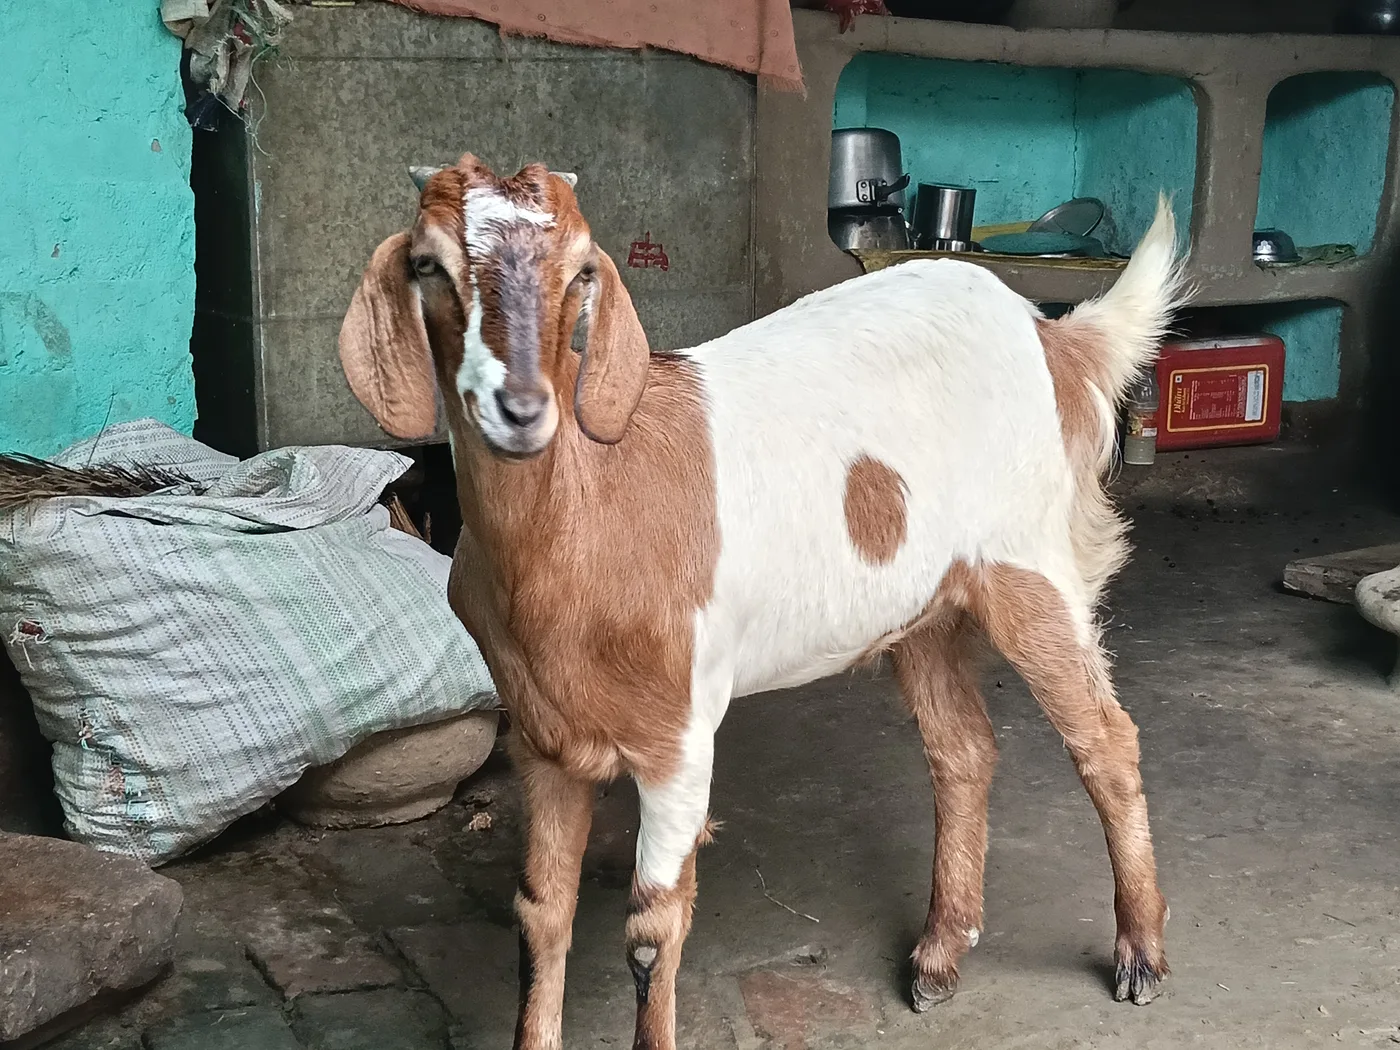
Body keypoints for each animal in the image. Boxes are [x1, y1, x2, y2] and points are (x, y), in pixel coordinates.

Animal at [339, 153, 1190, 1050]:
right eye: (428, 265)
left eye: (580, 273)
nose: (522, 407)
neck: (590, 511)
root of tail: (1055, 337)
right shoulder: (543, 738)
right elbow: (540, 917)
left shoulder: (678, 737)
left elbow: (652, 933)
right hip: (919, 606)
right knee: (962, 749)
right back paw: (939, 953)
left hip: (1029, 563)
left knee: (1106, 739)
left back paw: (1140, 954)